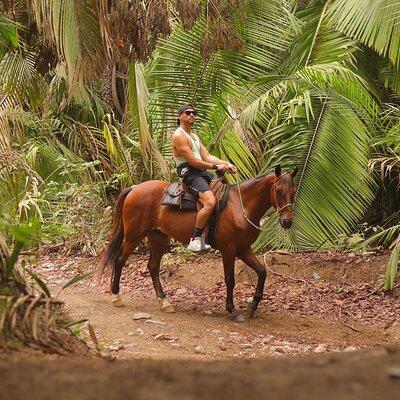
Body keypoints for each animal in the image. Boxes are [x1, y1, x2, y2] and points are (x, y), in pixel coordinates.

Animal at [100, 164, 296, 320]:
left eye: (294, 192)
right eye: (278, 190)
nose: (287, 222)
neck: (241, 207)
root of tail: (134, 188)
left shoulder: (244, 249)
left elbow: (262, 272)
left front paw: (253, 305)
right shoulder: (229, 250)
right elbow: (230, 279)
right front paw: (232, 310)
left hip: (157, 237)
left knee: (153, 267)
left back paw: (165, 302)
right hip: (134, 236)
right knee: (119, 261)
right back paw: (116, 296)